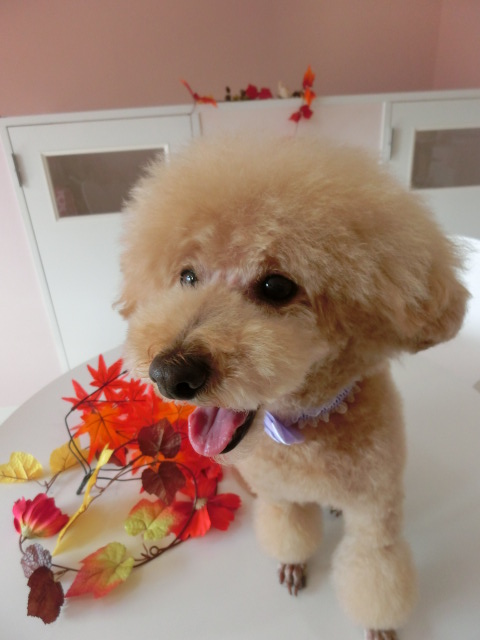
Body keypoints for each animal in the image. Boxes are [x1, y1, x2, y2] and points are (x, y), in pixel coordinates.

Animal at [117, 136, 468, 639]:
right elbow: (288, 532)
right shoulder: (280, 496)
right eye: (187, 276)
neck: (305, 429)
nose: (169, 373)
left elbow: (376, 573)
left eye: (276, 287)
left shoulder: (376, 515)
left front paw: (380, 624)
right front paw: (294, 565)